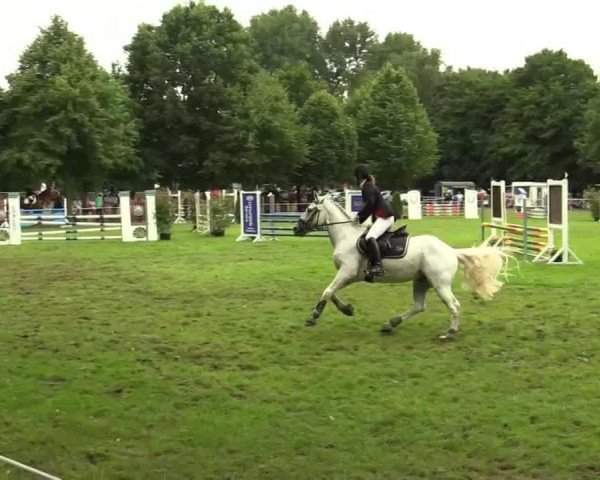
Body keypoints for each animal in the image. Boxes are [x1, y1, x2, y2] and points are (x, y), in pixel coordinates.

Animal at [292, 193, 508, 340]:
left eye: (309, 209)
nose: (296, 228)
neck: (346, 236)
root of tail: (451, 251)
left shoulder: (347, 273)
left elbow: (327, 291)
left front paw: (314, 316)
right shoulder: (348, 275)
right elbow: (331, 293)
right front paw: (347, 309)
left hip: (440, 284)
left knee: (454, 305)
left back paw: (450, 333)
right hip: (421, 281)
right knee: (419, 306)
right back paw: (390, 324)